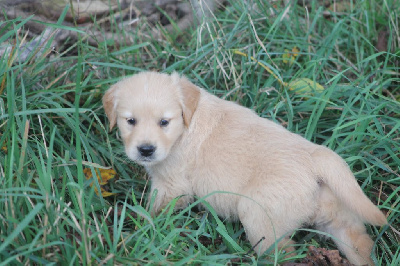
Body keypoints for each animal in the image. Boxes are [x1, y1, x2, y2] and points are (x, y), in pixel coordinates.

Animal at [103, 71, 388, 264]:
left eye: (164, 122)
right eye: (130, 121)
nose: (146, 150)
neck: (186, 123)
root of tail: (316, 156)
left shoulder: (172, 186)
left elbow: (153, 212)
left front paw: (136, 232)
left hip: (258, 216)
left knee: (283, 254)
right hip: (336, 211)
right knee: (359, 240)